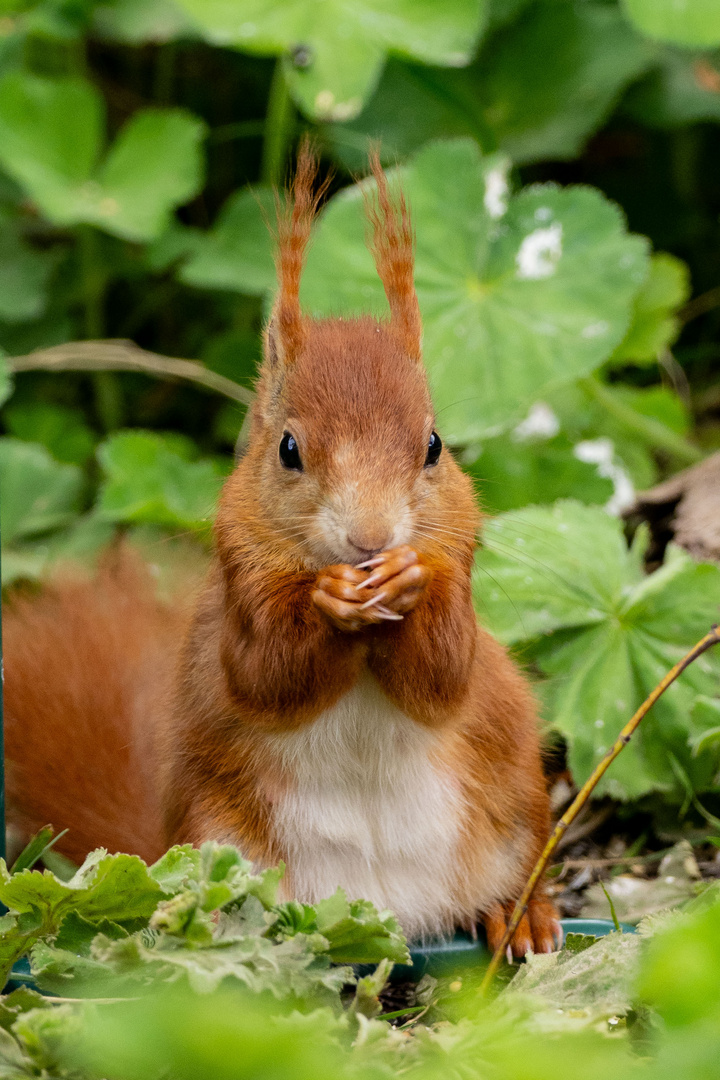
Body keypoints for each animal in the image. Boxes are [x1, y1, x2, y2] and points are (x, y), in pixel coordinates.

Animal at [2, 145, 561, 954]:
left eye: (434, 445)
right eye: (288, 449)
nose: (371, 538)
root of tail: (395, 917)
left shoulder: (462, 565)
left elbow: (446, 671)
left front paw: (411, 579)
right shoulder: (239, 581)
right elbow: (265, 676)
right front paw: (329, 603)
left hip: (516, 806)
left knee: (510, 875)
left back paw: (521, 917)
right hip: (219, 837)